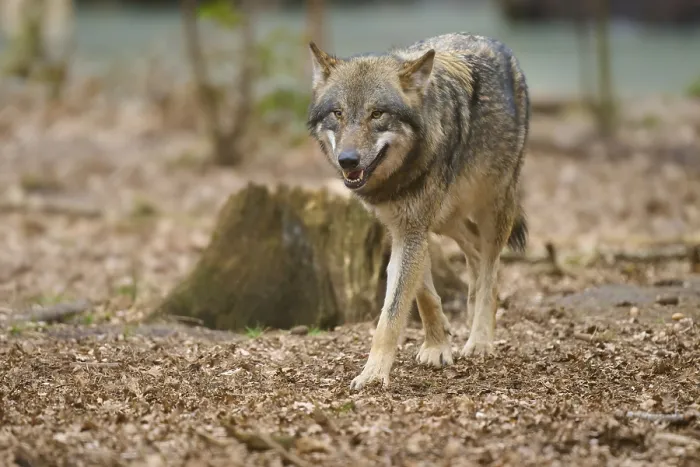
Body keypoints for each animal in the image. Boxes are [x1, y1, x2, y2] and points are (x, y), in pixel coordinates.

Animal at [306, 32, 530, 390]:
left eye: (377, 114)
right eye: (338, 113)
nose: (348, 161)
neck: (397, 178)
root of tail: (491, 41)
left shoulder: (413, 228)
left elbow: (392, 313)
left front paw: (373, 374)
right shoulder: (403, 227)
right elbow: (421, 293)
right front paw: (438, 346)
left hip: (493, 206)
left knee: (490, 267)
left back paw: (480, 339)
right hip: (446, 218)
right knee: (477, 256)